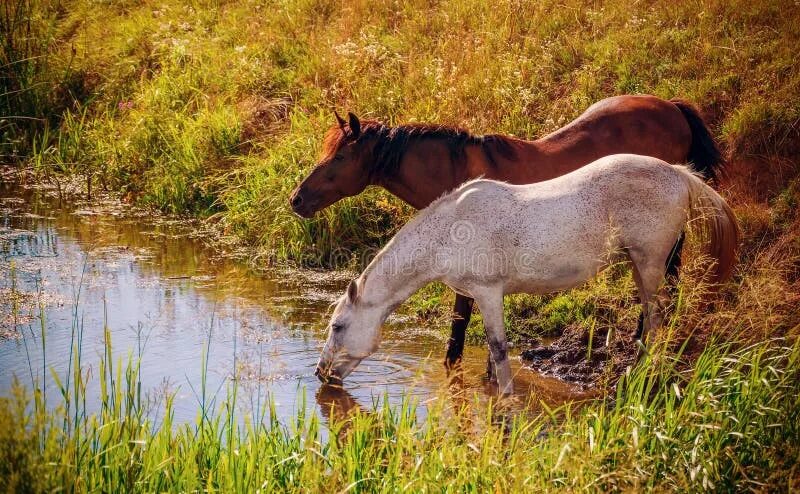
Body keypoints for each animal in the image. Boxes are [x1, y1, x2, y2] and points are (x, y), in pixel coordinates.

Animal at [316, 154, 740, 394]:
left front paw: (506, 396)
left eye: (338, 327)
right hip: (638, 263)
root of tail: (678, 173)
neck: (450, 230)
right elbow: (492, 354)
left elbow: (499, 348)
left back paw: (645, 375)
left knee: (656, 317)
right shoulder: (481, 296)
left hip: (650, 261)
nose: (321, 374)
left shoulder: (487, 292)